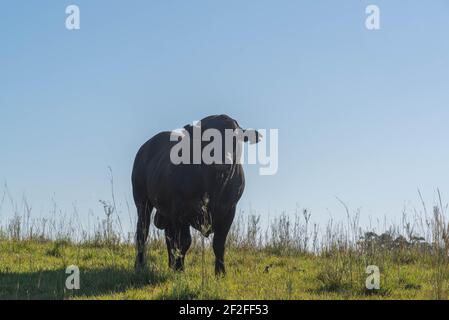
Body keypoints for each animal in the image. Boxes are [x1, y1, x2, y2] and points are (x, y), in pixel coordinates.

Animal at [131, 115, 260, 276]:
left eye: (235, 138)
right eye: (206, 138)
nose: (222, 160)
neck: (215, 183)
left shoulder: (229, 211)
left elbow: (219, 243)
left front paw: (220, 272)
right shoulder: (180, 209)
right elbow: (185, 241)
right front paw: (180, 269)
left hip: (166, 214)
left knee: (169, 237)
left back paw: (170, 265)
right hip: (142, 201)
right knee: (142, 232)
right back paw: (140, 265)